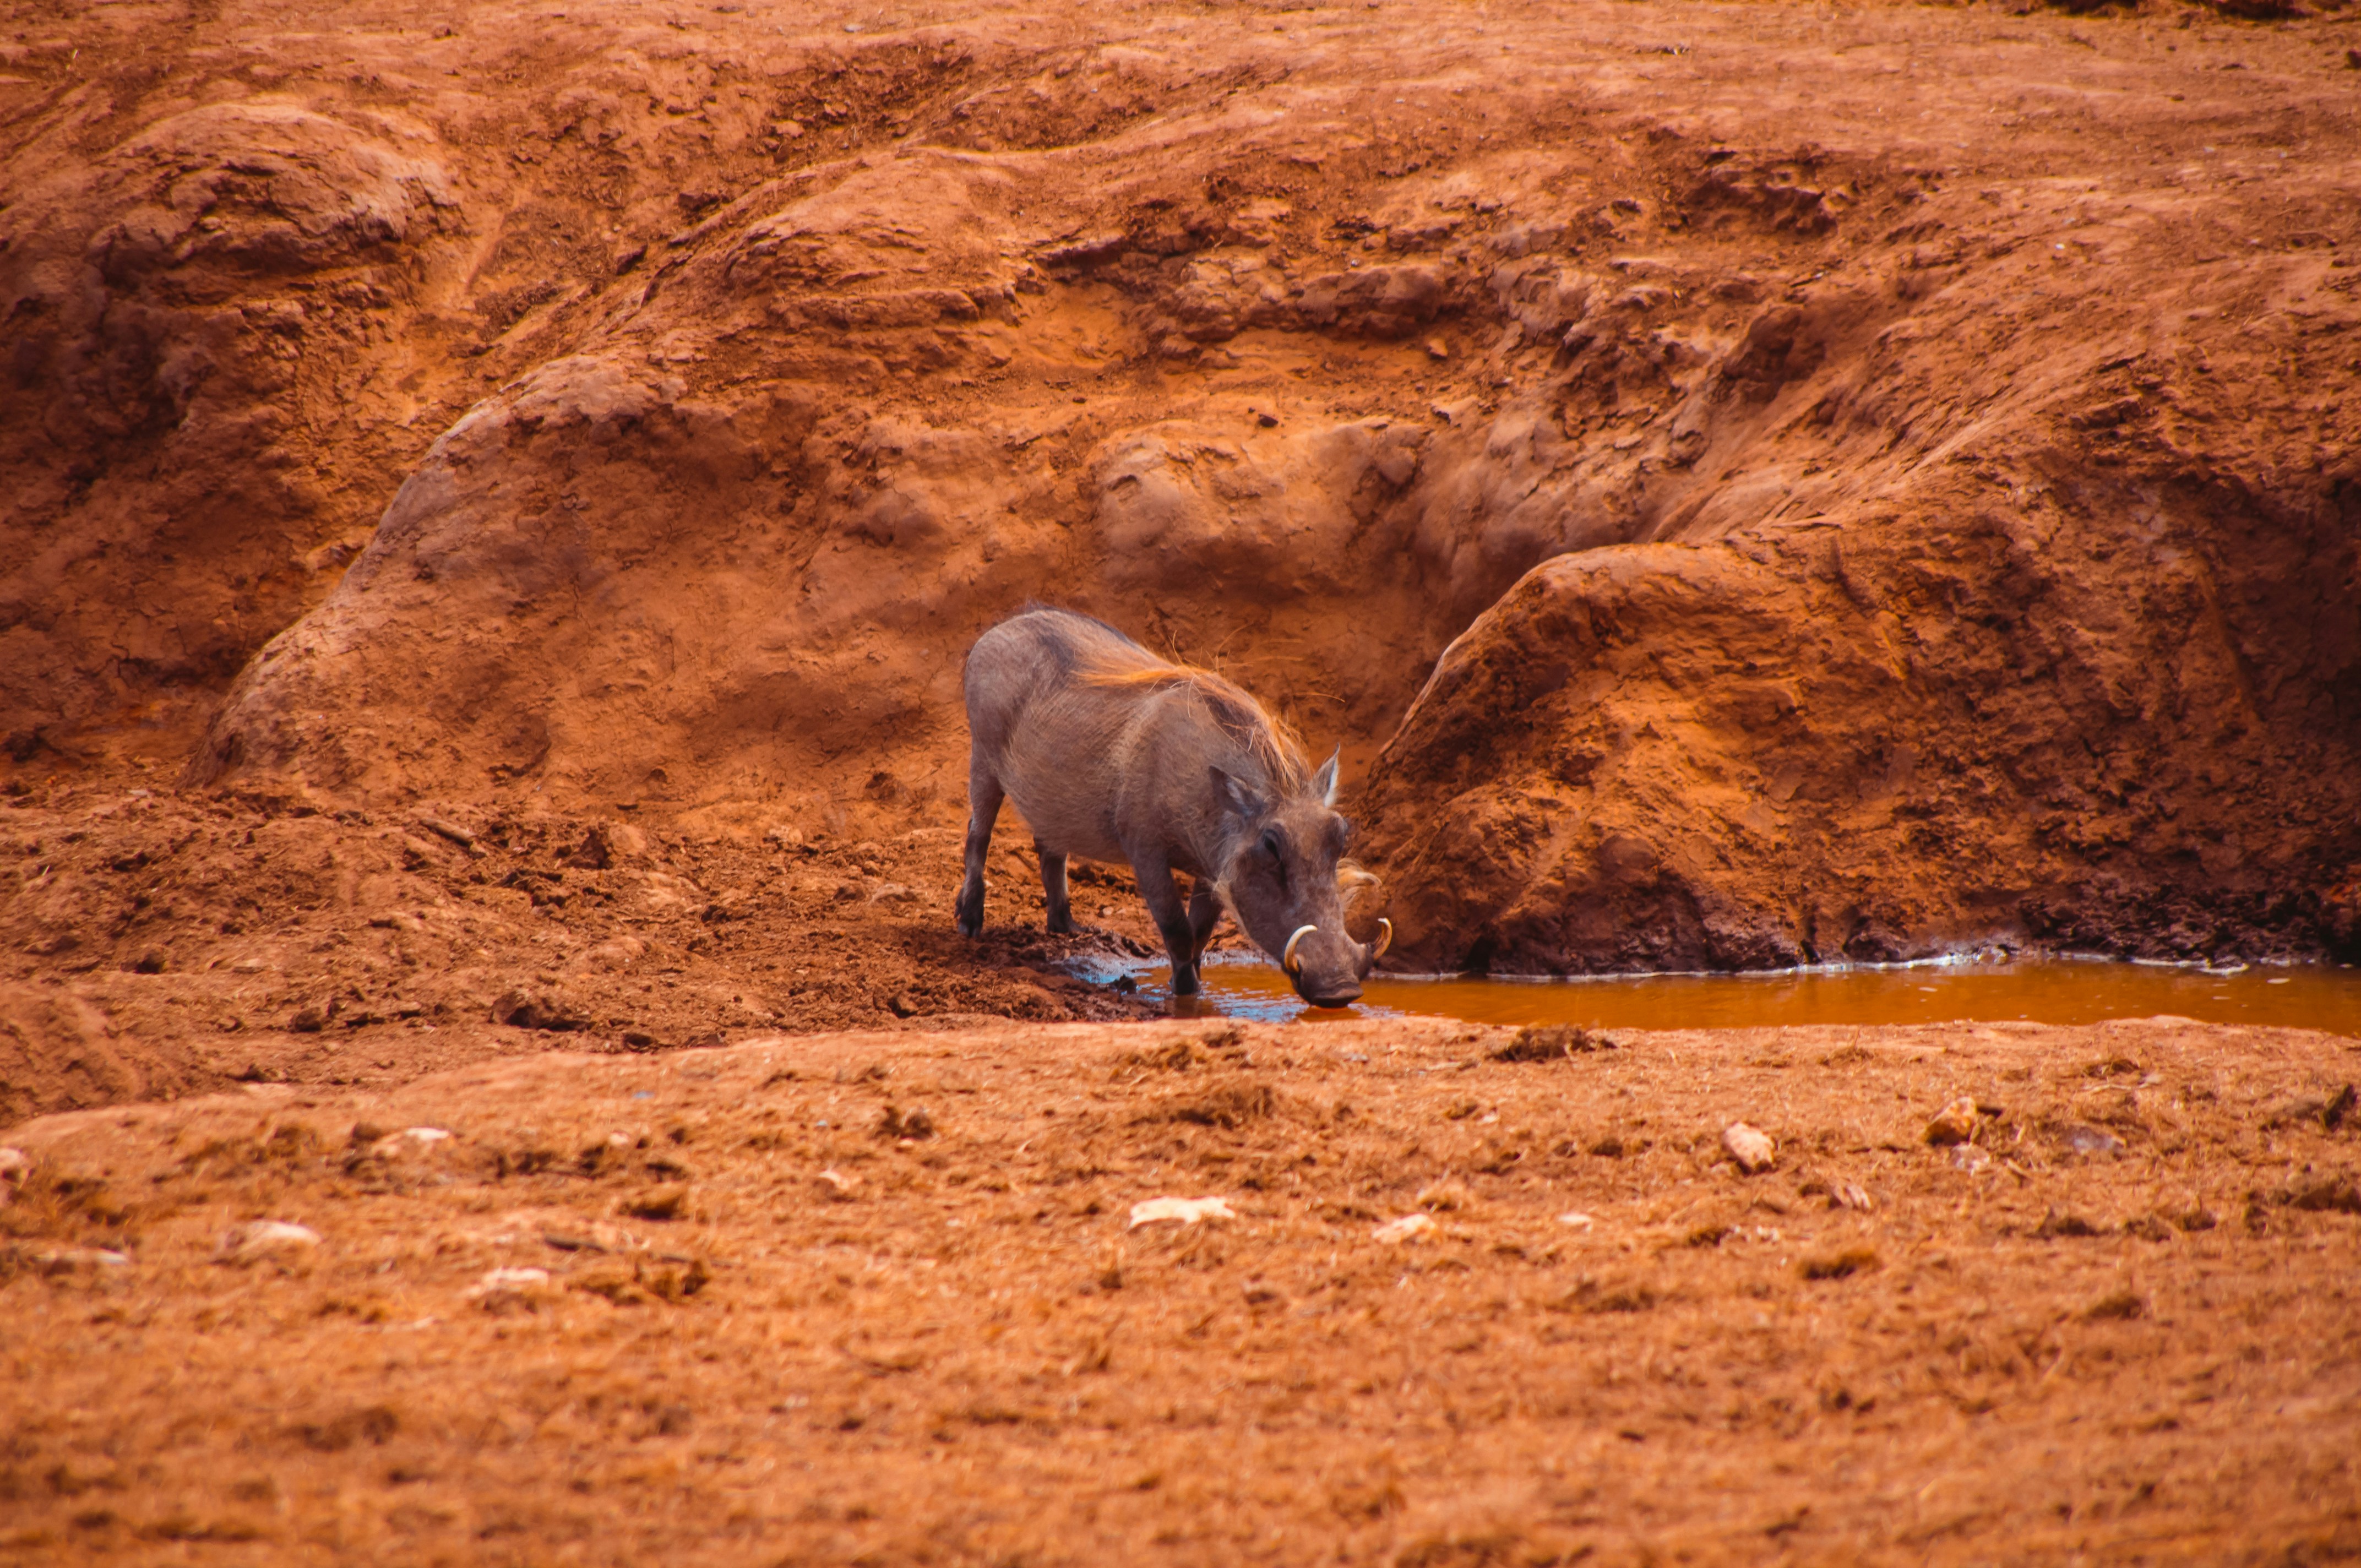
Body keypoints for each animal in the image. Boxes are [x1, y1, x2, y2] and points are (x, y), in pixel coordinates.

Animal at [955, 607, 1387, 1007]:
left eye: (1340, 836)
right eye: (1271, 845)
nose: (1340, 989)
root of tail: (999, 629)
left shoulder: (1212, 869)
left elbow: (1200, 935)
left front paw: (1197, 986)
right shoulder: (1145, 849)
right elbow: (1177, 930)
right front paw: (1187, 995)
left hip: (1051, 804)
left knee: (1050, 849)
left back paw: (1068, 928)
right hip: (983, 760)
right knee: (978, 834)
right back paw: (969, 922)